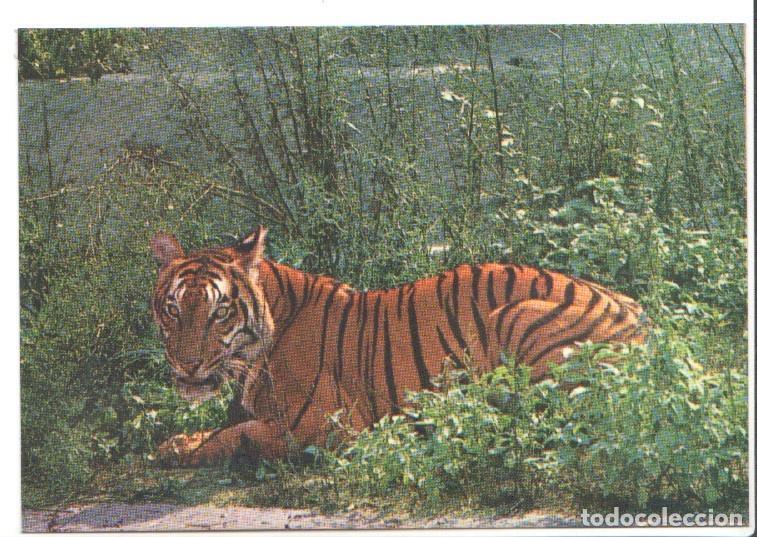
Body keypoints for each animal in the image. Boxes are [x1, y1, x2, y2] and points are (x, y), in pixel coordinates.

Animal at [150, 226, 646, 466]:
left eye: (220, 312)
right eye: (173, 309)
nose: (187, 364)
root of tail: (640, 317)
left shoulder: (326, 426)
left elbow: (240, 435)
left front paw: (181, 451)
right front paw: (176, 442)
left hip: (515, 316)